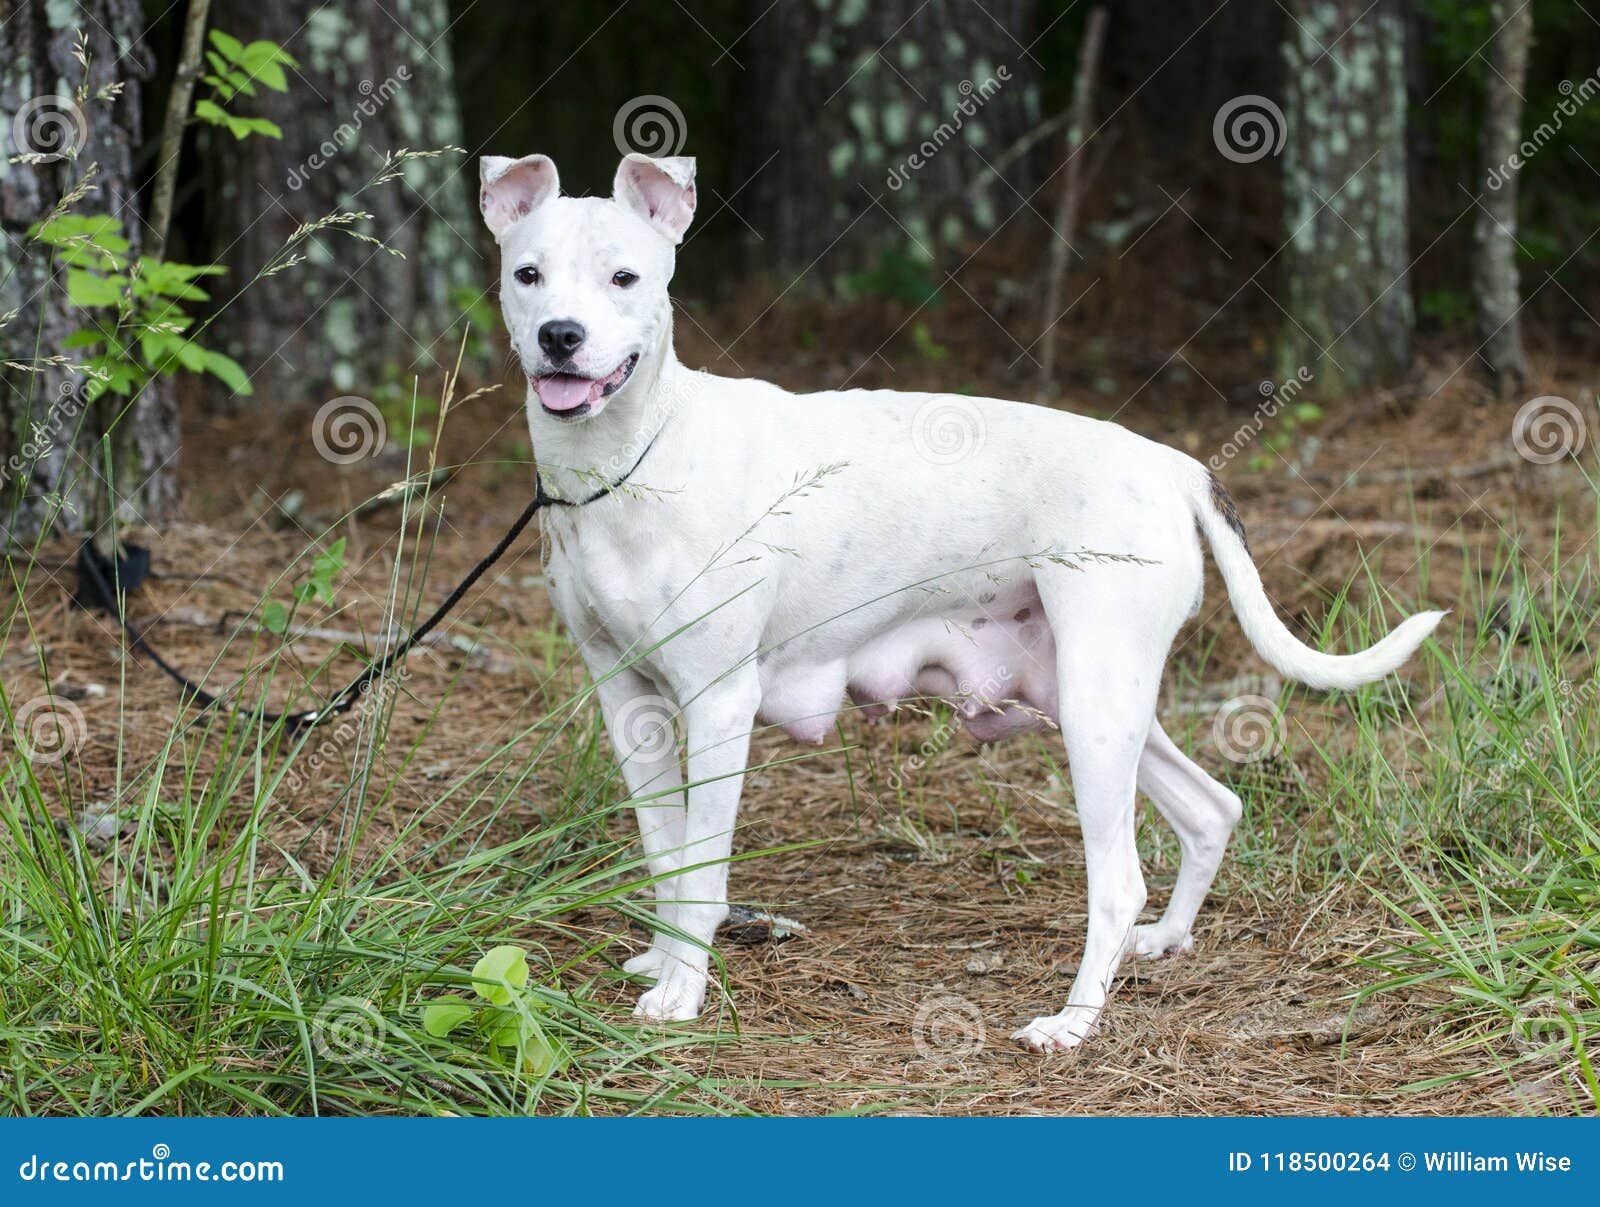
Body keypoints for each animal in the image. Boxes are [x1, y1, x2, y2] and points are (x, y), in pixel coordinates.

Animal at [480, 150, 1446, 1050]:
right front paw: (663, 955)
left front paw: (683, 991)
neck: (635, 458)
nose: (560, 336)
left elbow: (704, 866)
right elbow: (666, 851)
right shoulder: (630, 703)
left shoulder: (718, 704)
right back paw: (1163, 940)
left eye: (623, 278)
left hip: (1096, 711)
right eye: (528, 275)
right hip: (1089, 698)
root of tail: (1174, 463)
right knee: (1212, 808)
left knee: (1119, 878)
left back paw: (1073, 1021)